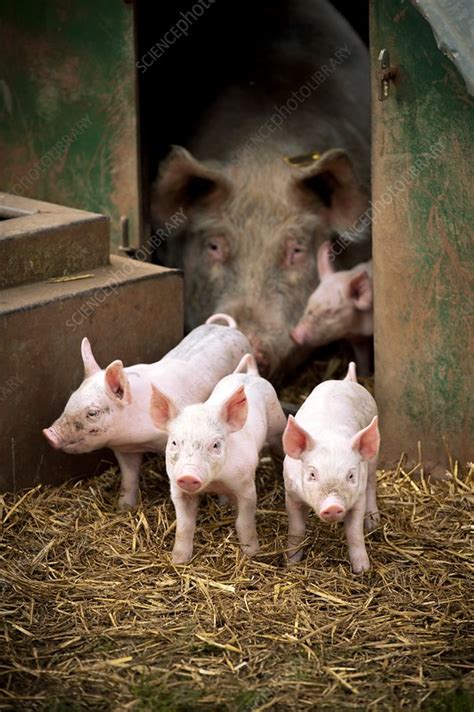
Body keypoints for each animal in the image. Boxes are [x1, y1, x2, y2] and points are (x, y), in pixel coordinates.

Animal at [44, 320, 250, 508]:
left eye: (92, 413)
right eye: (71, 398)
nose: (48, 434)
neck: (139, 439)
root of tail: (229, 328)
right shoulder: (125, 450)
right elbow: (129, 478)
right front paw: (124, 508)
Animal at [150, 354, 286, 564]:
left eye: (215, 445)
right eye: (174, 442)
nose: (188, 476)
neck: (215, 482)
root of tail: (252, 374)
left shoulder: (247, 486)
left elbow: (244, 522)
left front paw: (252, 553)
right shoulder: (177, 489)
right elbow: (184, 527)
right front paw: (178, 561)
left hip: (278, 422)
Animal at [284, 362, 380, 572]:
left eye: (350, 476)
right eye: (312, 474)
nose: (333, 505)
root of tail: (346, 380)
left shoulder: (358, 497)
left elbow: (354, 533)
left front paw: (362, 570)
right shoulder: (291, 493)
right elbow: (296, 529)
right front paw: (291, 562)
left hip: (373, 460)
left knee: (371, 485)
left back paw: (374, 522)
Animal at [288, 241, 374, 372]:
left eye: (330, 312)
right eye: (309, 301)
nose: (294, 335)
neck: (357, 328)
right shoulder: (358, 340)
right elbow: (362, 361)